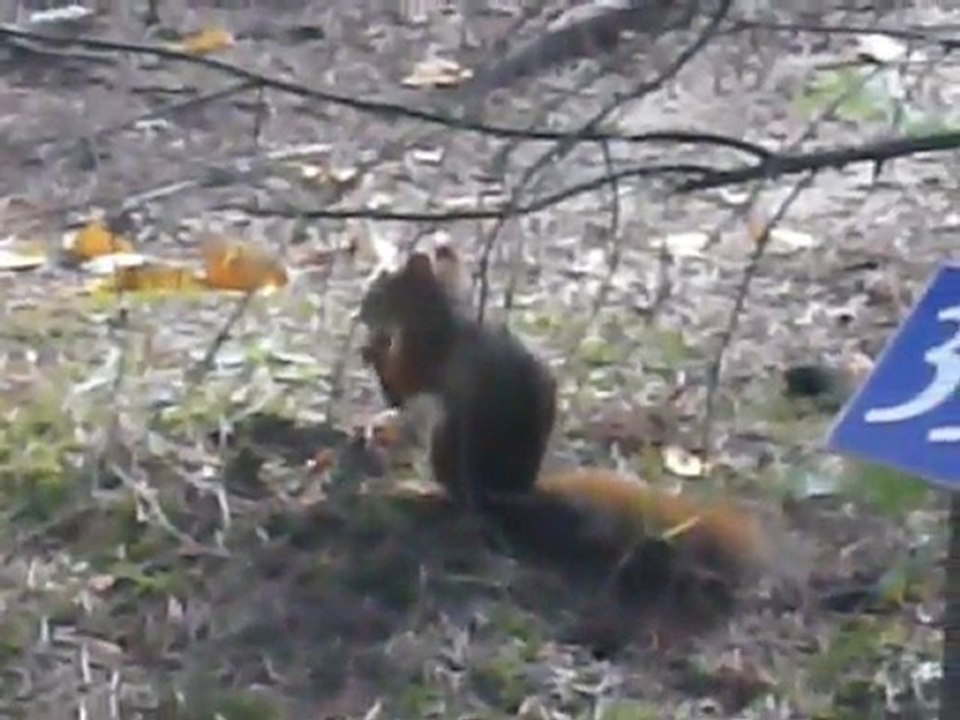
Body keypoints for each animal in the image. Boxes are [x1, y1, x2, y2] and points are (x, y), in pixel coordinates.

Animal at [357, 244, 766, 644]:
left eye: (381, 291)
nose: (361, 313)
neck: (440, 311)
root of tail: (512, 492)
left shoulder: (424, 352)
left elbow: (402, 386)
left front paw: (374, 348)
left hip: (449, 442)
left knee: (460, 500)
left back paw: (418, 489)